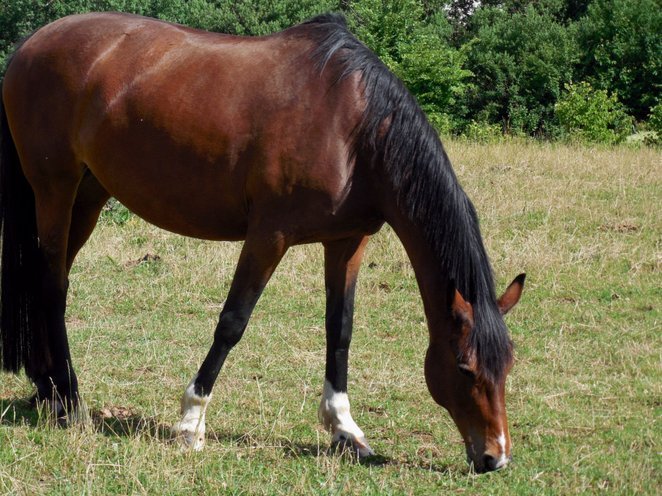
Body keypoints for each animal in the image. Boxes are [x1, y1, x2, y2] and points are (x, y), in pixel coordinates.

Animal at [0, 12, 524, 473]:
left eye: (508, 367)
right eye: (464, 368)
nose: (494, 457)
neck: (353, 130)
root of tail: (29, 45)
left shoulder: (347, 242)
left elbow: (341, 330)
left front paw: (345, 429)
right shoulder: (269, 236)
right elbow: (232, 322)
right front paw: (191, 422)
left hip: (88, 195)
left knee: (52, 281)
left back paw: (47, 389)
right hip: (55, 188)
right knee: (52, 286)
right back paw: (70, 401)